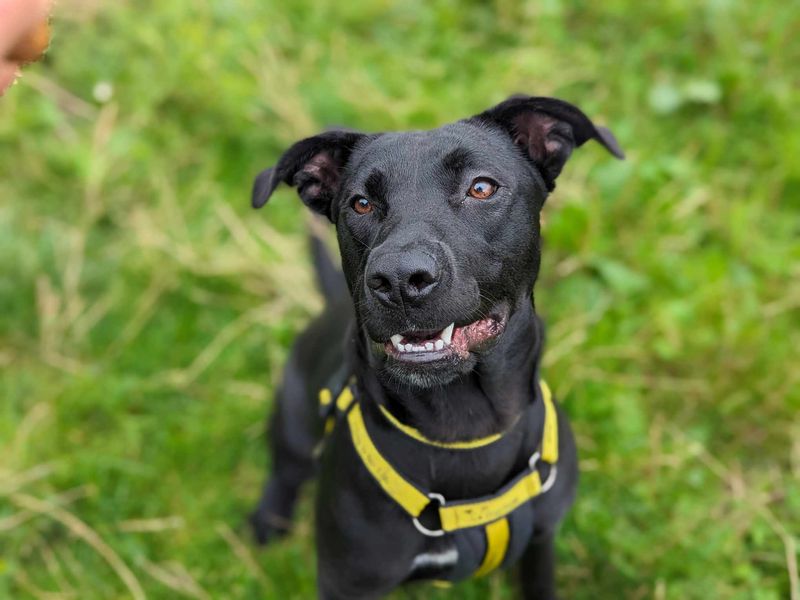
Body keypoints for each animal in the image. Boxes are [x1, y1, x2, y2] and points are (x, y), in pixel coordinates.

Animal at [247, 96, 620, 596]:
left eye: (481, 187)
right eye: (360, 203)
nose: (399, 279)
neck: (462, 428)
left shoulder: (541, 539)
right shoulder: (348, 580)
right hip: (294, 420)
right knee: (285, 470)